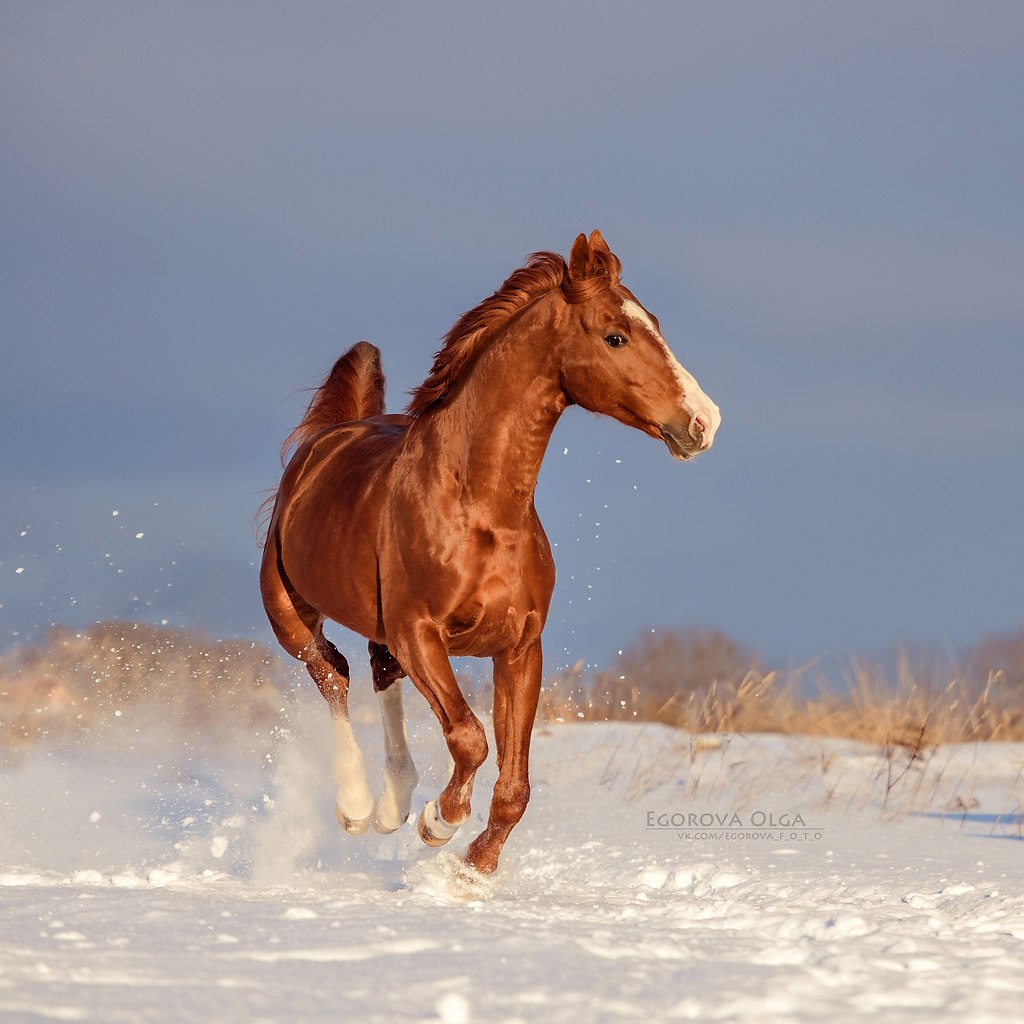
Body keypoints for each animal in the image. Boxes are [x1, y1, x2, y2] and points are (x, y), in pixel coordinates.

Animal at [258, 230, 720, 872]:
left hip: (381, 631)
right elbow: (469, 739)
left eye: (654, 323)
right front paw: (438, 823)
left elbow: (515, 783)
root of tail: (327, 441)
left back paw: (392, 804)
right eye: (616, 336)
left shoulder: (520, 646)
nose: (705, 422)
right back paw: (357, 806)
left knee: (376, 674)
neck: (479, 511)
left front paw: (473, 869)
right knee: (332, 673)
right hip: (290, 614)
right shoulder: (420, 633)